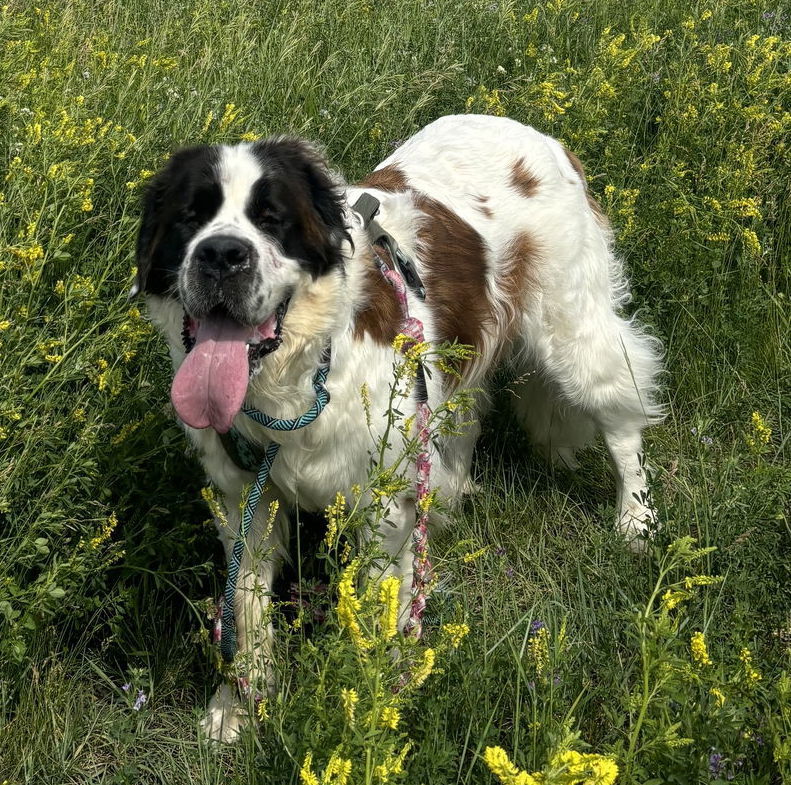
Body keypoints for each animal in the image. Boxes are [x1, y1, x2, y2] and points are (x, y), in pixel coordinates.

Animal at [135, 113, 664, 740]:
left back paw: (635, 519)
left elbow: (377, 608)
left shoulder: (380, 505)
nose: (221, 254)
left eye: (272, 219)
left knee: (622, 420)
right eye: (190, 217)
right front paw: (239, 705)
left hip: (573, 336)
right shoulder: (245, 496)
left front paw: (371, 702)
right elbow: (247, 604)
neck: (301, 373)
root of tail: (538, 135)